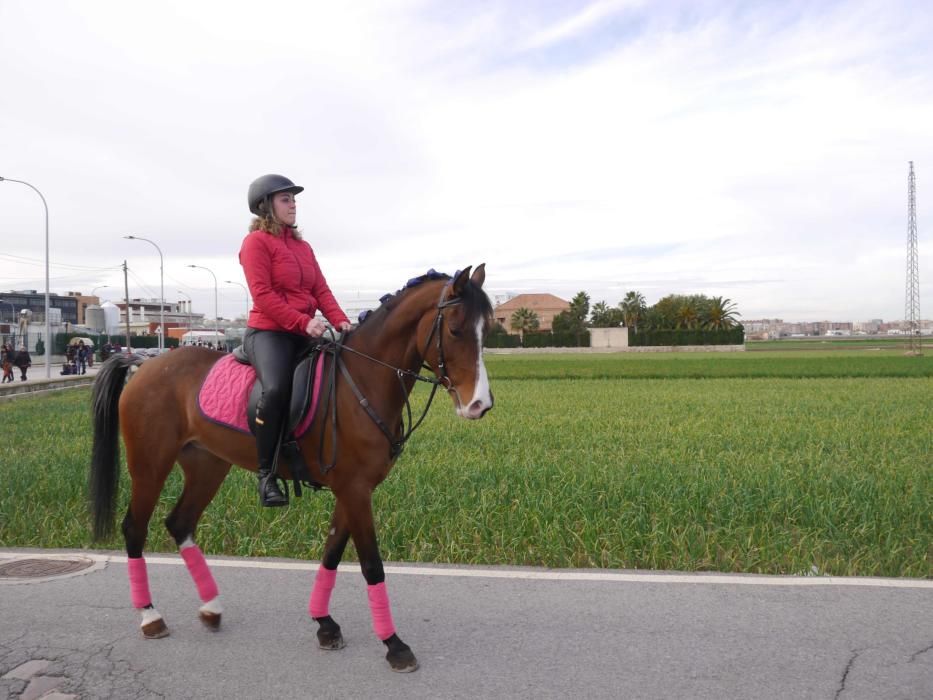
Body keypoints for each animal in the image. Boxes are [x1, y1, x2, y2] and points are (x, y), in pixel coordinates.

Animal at [88, 264, 496, 672]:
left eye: (486, 330)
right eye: (455, 329)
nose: (479, 405)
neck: (361, 381)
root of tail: (143, 363)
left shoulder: (353, 489)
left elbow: (332, 552)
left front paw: (325, 624)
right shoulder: (355, 490)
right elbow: (371, 564)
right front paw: (394, 645)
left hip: (208, 466)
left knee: (180, 523)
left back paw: (211, 608)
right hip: (150, 464)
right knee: (135, 528)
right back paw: (150, 616)